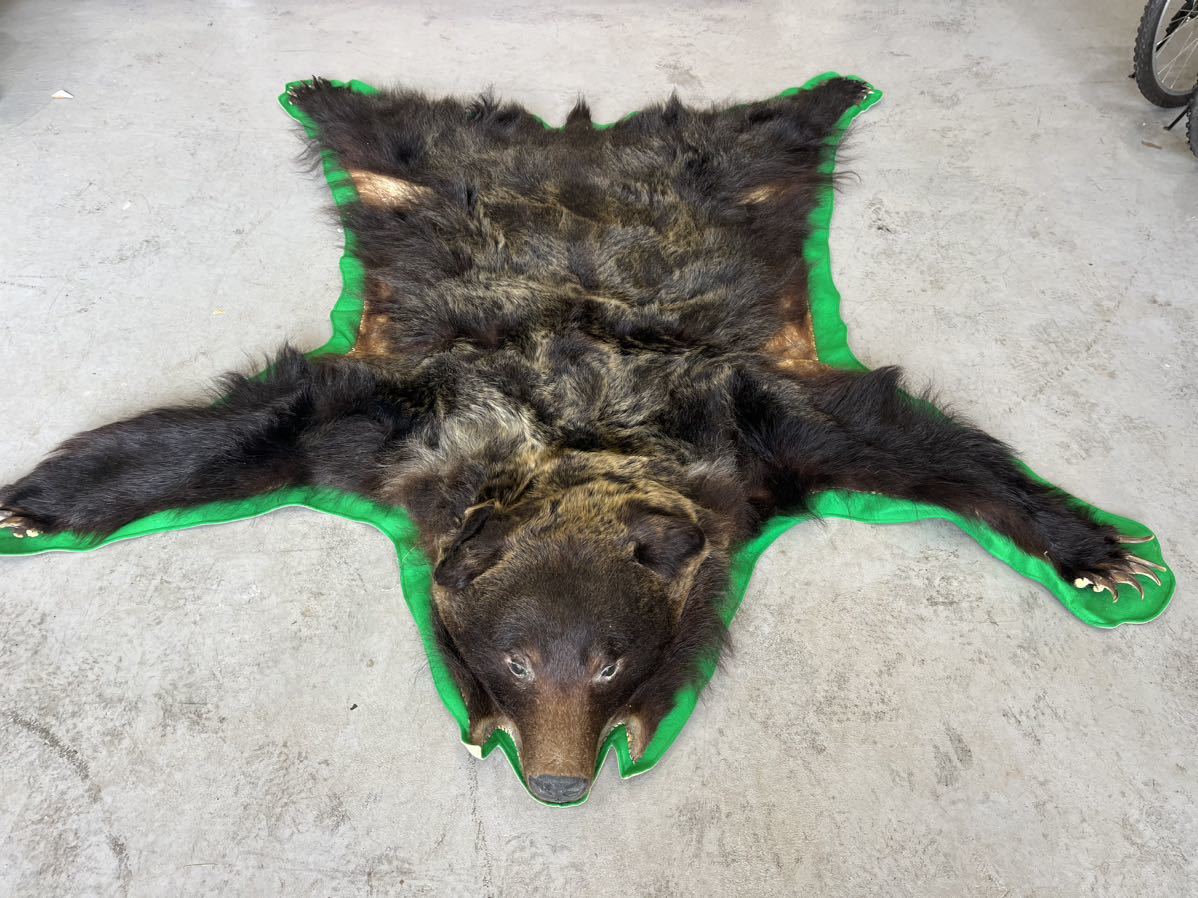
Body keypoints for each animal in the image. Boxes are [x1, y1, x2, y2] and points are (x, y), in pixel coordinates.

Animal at [0, 77, 1161, 804]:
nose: (558, 782)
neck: (575, 451)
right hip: (428, 172)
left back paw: (833, 91)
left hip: (731, 173)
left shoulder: (753, 436)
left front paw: (1100, 552)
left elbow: (908, 443)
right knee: (394, 133)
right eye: (516, 656)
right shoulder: (407, 421)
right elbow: (264, 424)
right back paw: (323, 93)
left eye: (608, 660)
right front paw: (37, 501)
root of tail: (578, 136)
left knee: (773, 133)